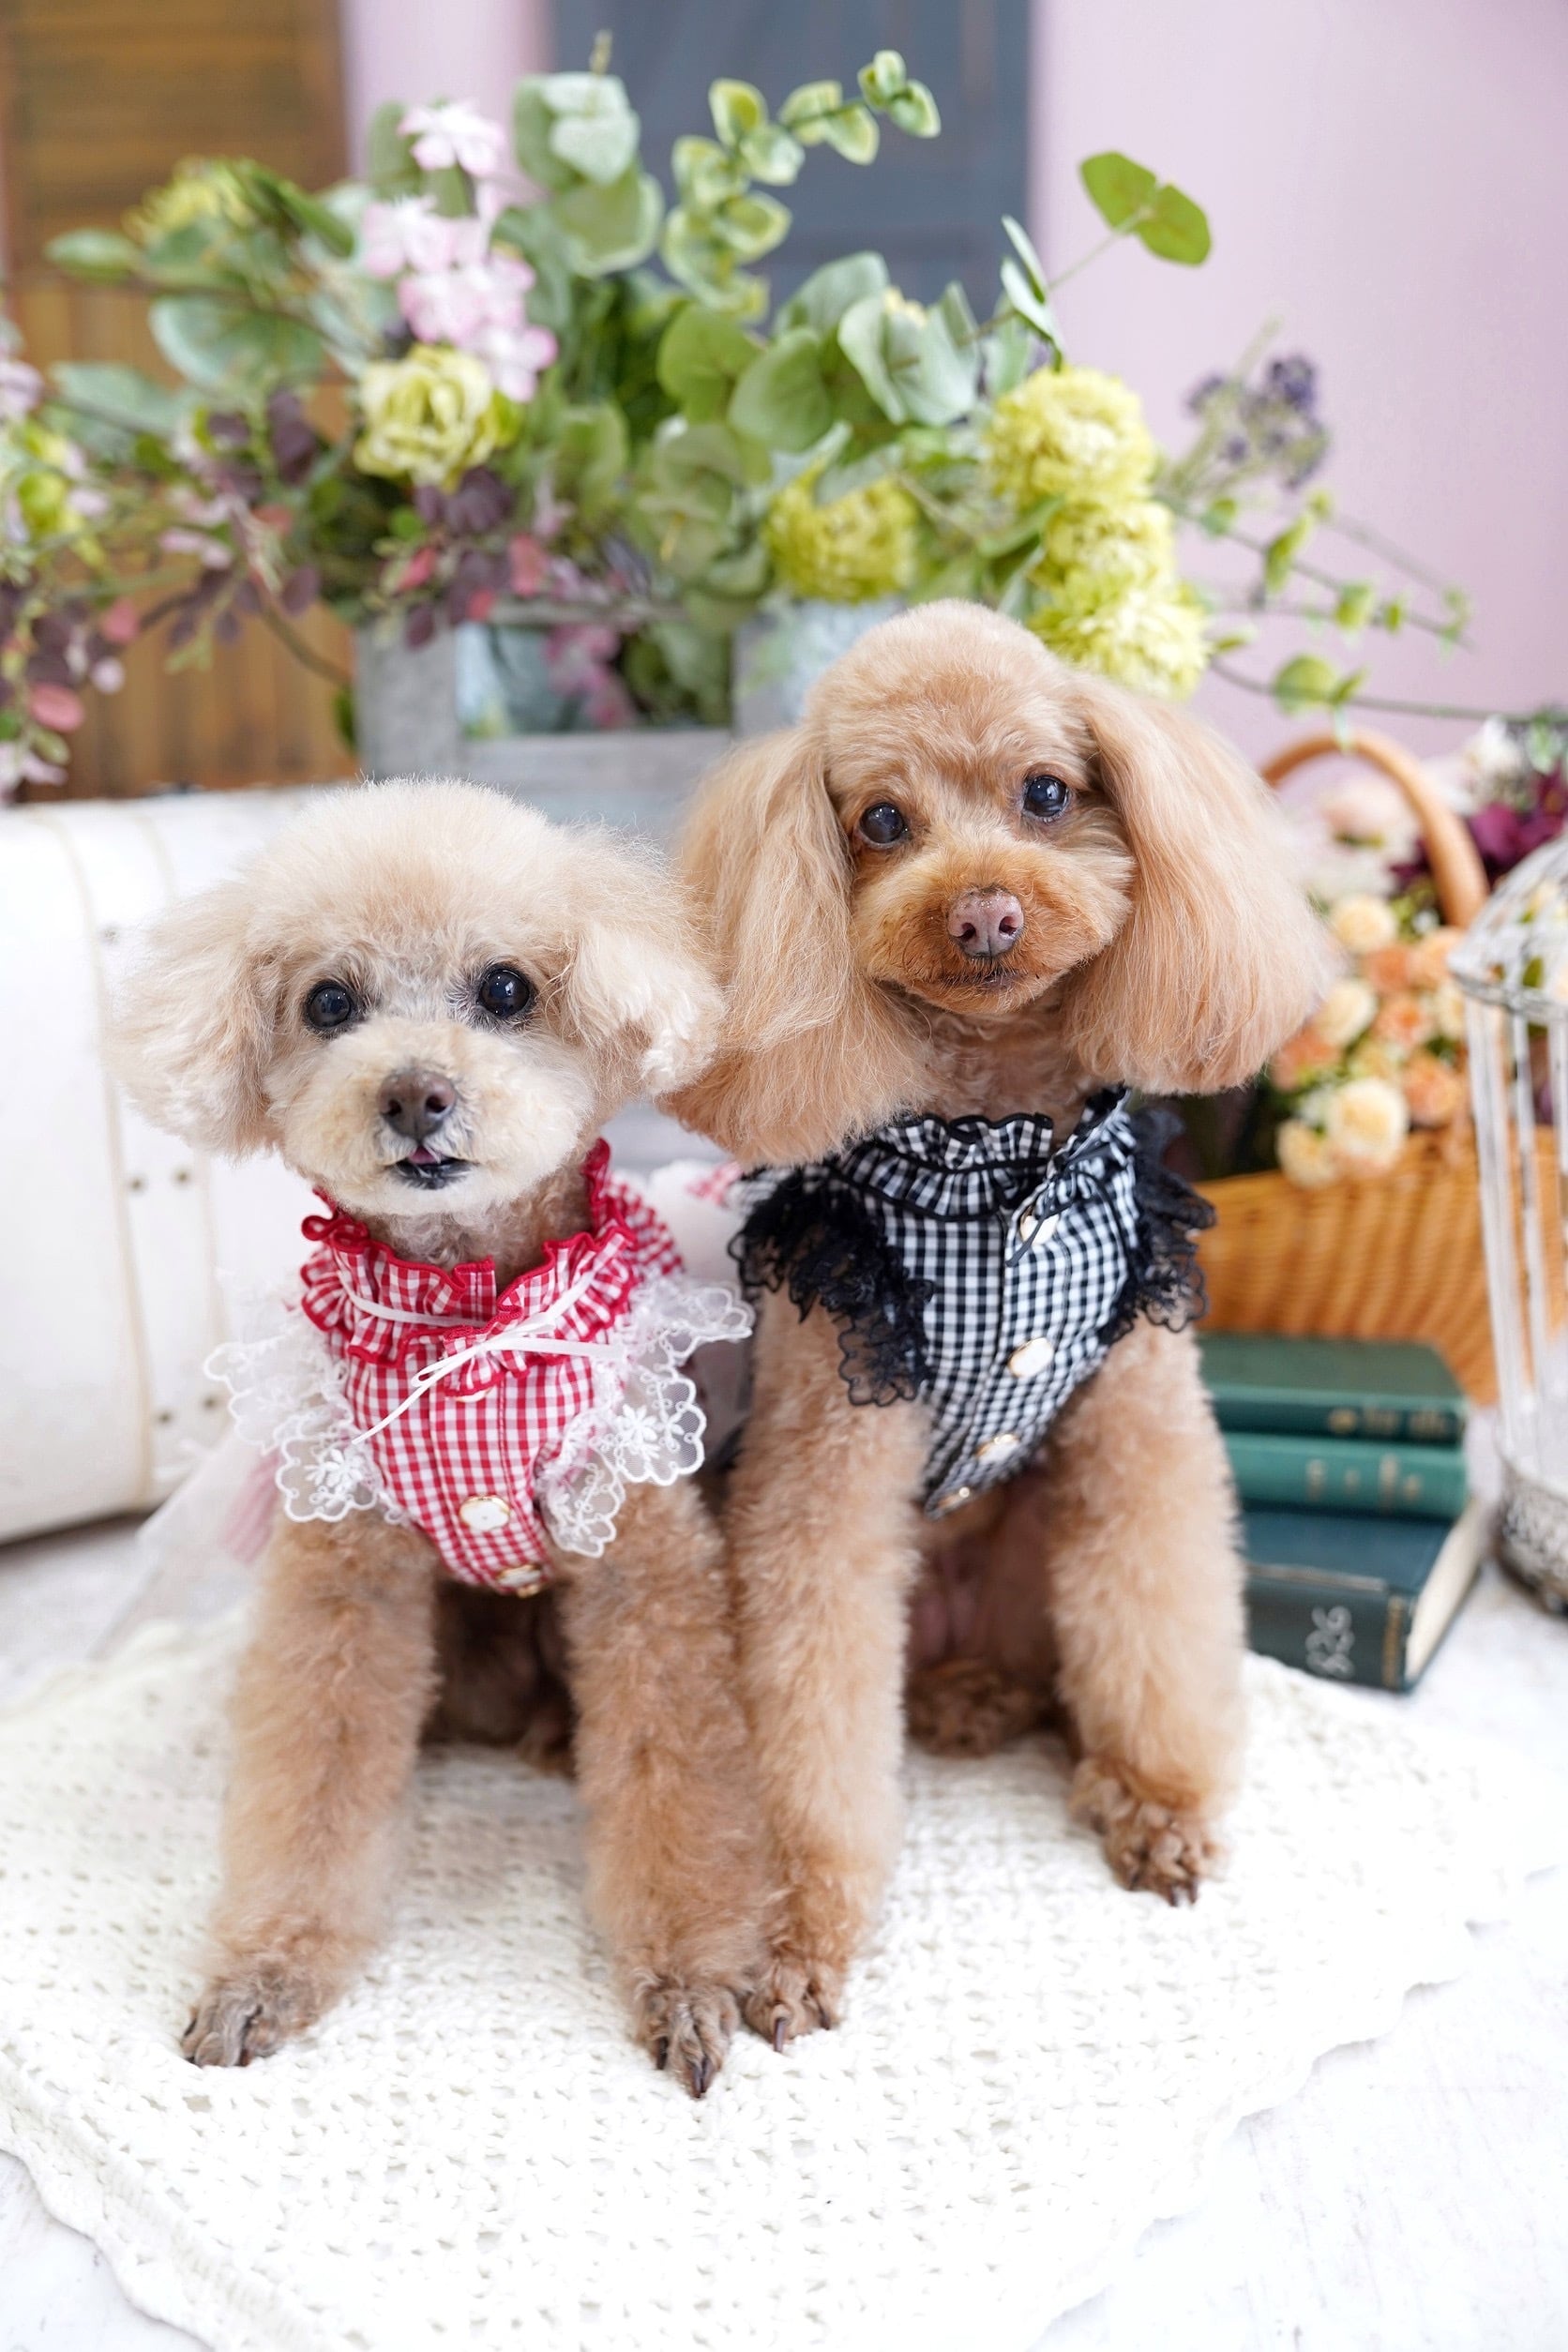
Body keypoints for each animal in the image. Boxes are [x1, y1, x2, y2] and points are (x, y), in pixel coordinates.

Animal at [111, 779, 770, 2096]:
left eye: (506, 988)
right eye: (328, 1003)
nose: (414, 1094)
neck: (466, 1323)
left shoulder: (643, 1572)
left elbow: (678, 1775)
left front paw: (692, 1979)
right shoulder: (344, 1581)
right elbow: (313, 1774)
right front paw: (265, 1973)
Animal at [665, 601, 1333, 2046]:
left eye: (1045, 793)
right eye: (878, 821)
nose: (983, 909)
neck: (999, 1159)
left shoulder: (1141, 1429)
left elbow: (1161, 1614)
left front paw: (1161, 1807)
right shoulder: (825, 1472)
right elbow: (808, 1718)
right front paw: (795, 1931)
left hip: (1039, 1545)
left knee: (1056, 1655)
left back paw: (995, 1703)